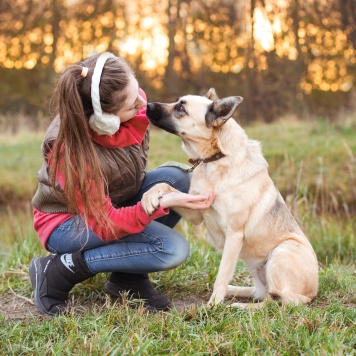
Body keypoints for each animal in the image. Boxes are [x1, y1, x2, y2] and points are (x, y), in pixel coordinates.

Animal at [140, 89, 318, 308]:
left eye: (181, 107)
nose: (147, 105)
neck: (216, 159)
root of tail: (311, 293)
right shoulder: (197, 212)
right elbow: (165, 186)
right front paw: (149, 197)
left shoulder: (234, 235)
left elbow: (222, 275)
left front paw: (212, 306)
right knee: (262, 293)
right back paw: (235, 291)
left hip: (282, 251)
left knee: (274, 302)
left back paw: (240, 306)